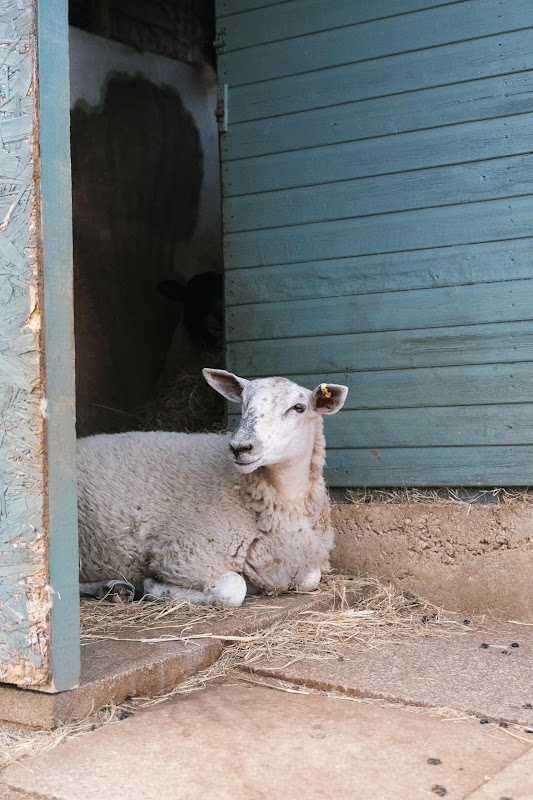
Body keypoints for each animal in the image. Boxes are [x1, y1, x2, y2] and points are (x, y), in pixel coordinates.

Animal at [78, 369, 348, 607]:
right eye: (244, 404)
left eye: (298, 408)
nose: (240, 447)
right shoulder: (183, 556)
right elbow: (233, 589)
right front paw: (152, 587)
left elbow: (311, 578)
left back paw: (114, 588)